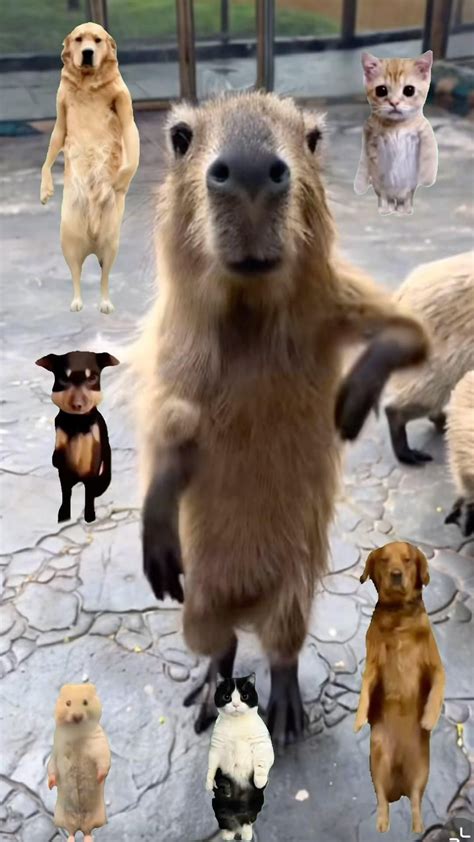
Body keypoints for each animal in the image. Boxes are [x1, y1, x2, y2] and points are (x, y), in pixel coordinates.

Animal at [35, 348, 119, 520]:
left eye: (93, 378)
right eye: (62, 379)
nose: (78, 404)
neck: (76, 422)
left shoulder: (93, 451)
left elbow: (89, 492)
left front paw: (89, 517)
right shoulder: (61, 448)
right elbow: (65, 491)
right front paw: (64, 516)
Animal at [206, 672, 274, 836]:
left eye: (244, 696)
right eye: (227, 697)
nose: (236, 705)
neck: (237, 724)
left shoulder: (263, 744)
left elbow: (262, 764)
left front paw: (260, 780)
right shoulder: (216, 747)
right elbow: (211, 767)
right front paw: (208, 783)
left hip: (257, 803)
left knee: (248, 821)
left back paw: (246, 833)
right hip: (218, 805)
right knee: (226, 822)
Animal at [356, 51, 436, 215]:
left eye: (409, 90)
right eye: (381, 90)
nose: (394, 102)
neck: (397, 126)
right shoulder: (372, 139)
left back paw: (404, 209)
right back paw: (387, 208)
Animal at [356, 540, 444, 832]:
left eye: (407, 560)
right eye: (384, 560)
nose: (396, 574)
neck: (398, 619)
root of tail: (400, 787)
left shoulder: (436, 665)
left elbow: (437, 690)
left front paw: (428, 719)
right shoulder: (373, 663)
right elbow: (365, 688)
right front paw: (359, 719)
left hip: (422, 771)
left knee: (416, 799)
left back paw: (417, 825)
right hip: (377, 763)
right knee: (382, 798)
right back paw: (383, 822)